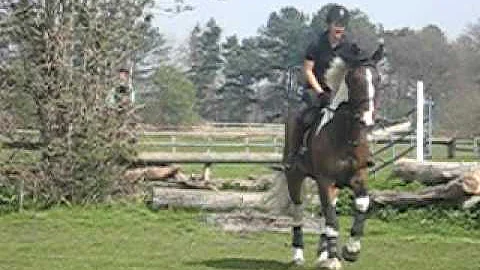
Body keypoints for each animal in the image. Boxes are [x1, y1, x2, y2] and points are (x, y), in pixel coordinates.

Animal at [282, 43, 382, 268]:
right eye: (354, 80)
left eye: (378, 80)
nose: (367, 119)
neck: (345, 136)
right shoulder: (325, 180)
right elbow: (332, 222)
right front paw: (335, 259)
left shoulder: (357, 177)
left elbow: (361, 205)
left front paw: (351, 250)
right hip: (294, 177)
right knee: (298, 211)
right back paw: (298, 255)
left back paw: (323, 254)